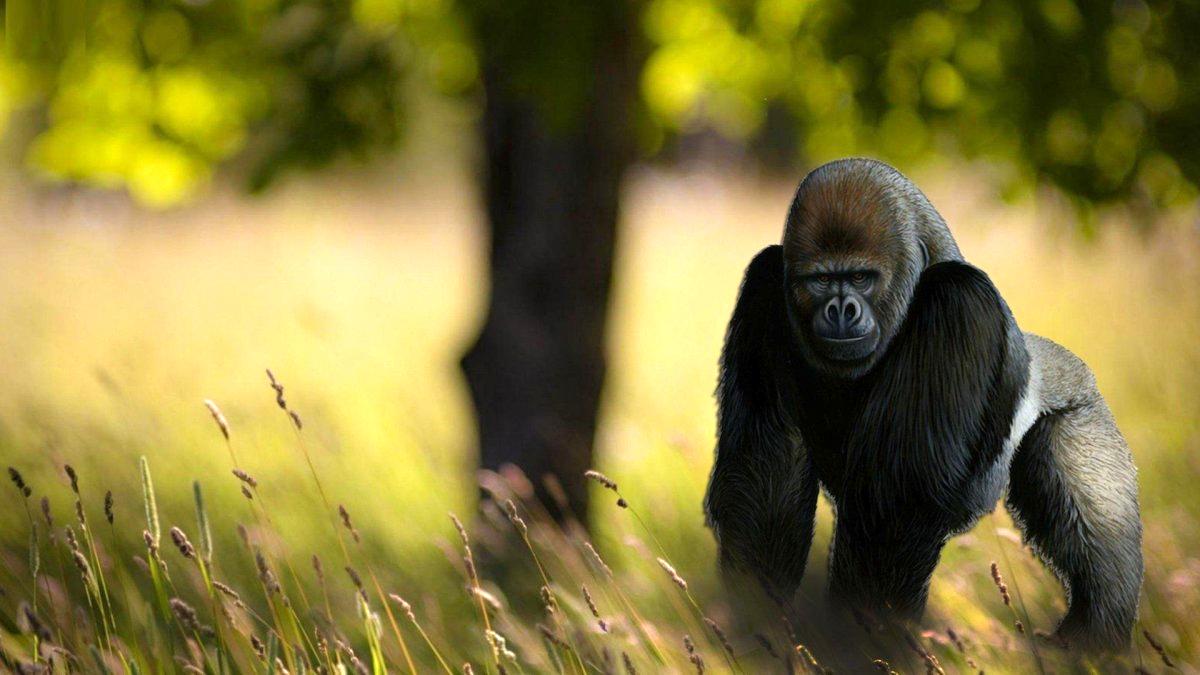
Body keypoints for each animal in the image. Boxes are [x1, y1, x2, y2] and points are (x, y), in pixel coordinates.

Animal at [700, 156, 1142, 648]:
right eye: (821, 280)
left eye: (861, 278)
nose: (841, 311)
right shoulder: (764, 285)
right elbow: (765, 474)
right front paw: (759, 624)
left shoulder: (960, 298)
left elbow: (898, 503)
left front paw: (860, 642)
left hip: (1081, 410)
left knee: (1100, 535)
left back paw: (1093, 636)